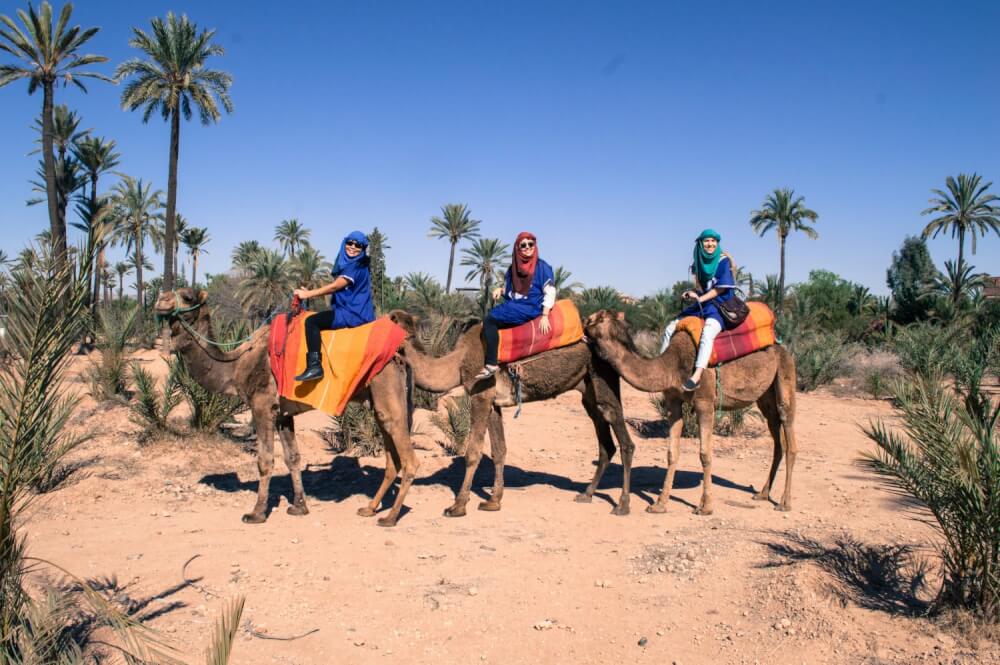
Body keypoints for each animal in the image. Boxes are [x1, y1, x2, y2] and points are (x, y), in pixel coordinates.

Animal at [153, 288, 418, 528]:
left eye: (187, 296)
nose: (160, 299)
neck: (236, 365)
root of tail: (401, 354)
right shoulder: (283, 414)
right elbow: (293, 457)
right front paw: (299, 506)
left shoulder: (262, 406)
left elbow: (265, 460)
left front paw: (257, 513)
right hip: (378, 402)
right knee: (392, 458)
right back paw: (369, 508)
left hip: (387, 390)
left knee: (410, 460)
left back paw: (390, 517)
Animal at [386, 310, 636, 512]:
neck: (456, 363)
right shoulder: (493, 403)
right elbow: (499, 450)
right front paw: (493, 501)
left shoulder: (480, 395)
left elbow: (473, 451)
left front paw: (458, 506)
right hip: (588, 392)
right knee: (606, 443)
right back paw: (586, 494)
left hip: (603, 377)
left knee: (623, 436)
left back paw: (622, 505)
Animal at [580, 308, 796, 516]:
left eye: (597, 318)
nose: (582, 321)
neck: (671, 366)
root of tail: (783, 347)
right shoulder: (673, 401)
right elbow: (672, 453)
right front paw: (659, 505)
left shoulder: (705, 402)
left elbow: (705, 454)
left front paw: (705, 507)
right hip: (765, 397)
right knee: (777, 436)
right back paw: (762, 494)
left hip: (785, 372)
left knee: (788, 427)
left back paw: (784, 503)